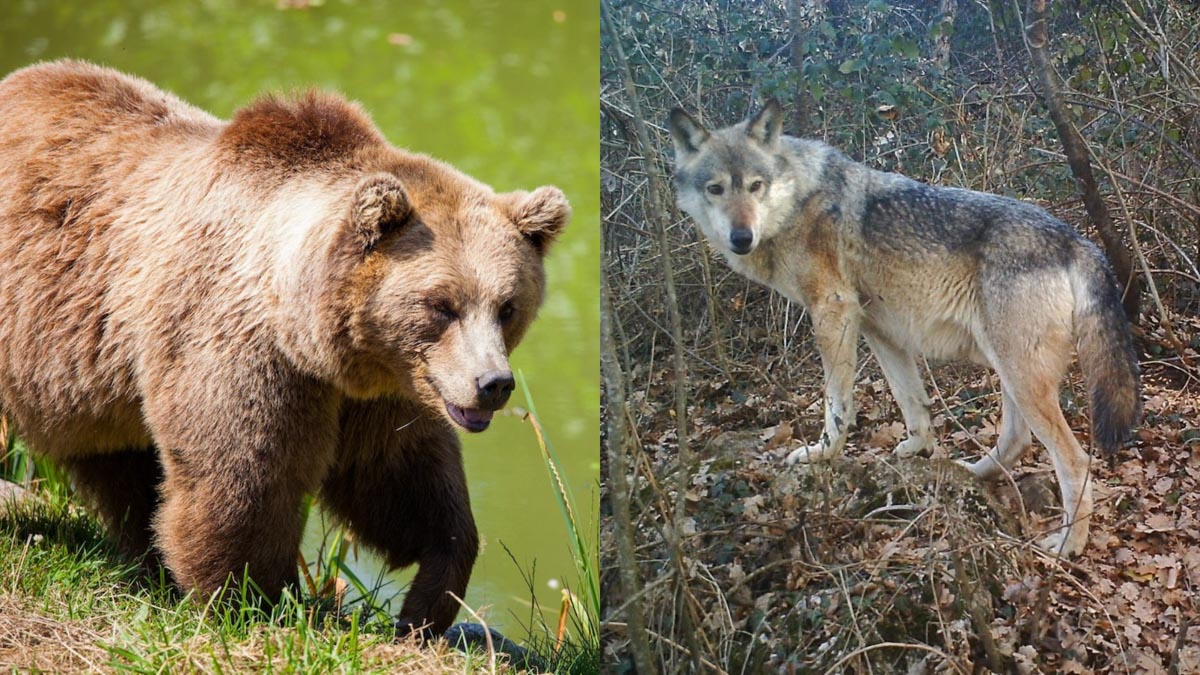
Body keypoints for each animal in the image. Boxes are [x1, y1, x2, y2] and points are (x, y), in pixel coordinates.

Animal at [0, 60, 570, 636]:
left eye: (507, 306)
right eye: (441, 305)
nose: (493, 383)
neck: (310, 332)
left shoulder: (381, 389)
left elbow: (399, 479)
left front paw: (427, 601)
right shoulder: (239, 346)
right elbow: (244, 478)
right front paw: (252, 601)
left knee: (118, 462)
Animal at [667, 99, 1140, 557]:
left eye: (755, 186)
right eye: (715, 189)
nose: (741, 236)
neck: (797, 199)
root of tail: (1076, 241)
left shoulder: (832, 313)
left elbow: (837, 404)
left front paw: (822, 453)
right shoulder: (881, 332)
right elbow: (911, 402)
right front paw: (918, 449)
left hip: (1021, 375)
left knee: (1075, 461)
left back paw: (1067, 545)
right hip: (1009, 370)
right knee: (1016, 440)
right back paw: (969, 471)